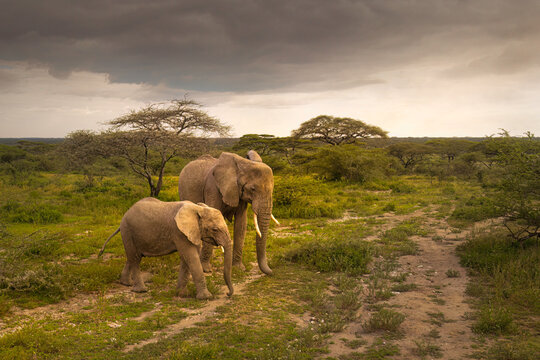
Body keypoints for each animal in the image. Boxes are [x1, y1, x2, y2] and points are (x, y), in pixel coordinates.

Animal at [100, 198, 233, 300]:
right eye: (214, 229)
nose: (227, 294)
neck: (197, 208)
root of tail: (125, 215)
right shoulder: (179, 232)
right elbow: (191, 257)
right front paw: (206, 297)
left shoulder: (192, 232)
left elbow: (186, 258)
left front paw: (181, 293)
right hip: (127, 231)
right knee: (135, 259)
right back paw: (141, 290)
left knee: (132, 257)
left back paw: (127, 283)